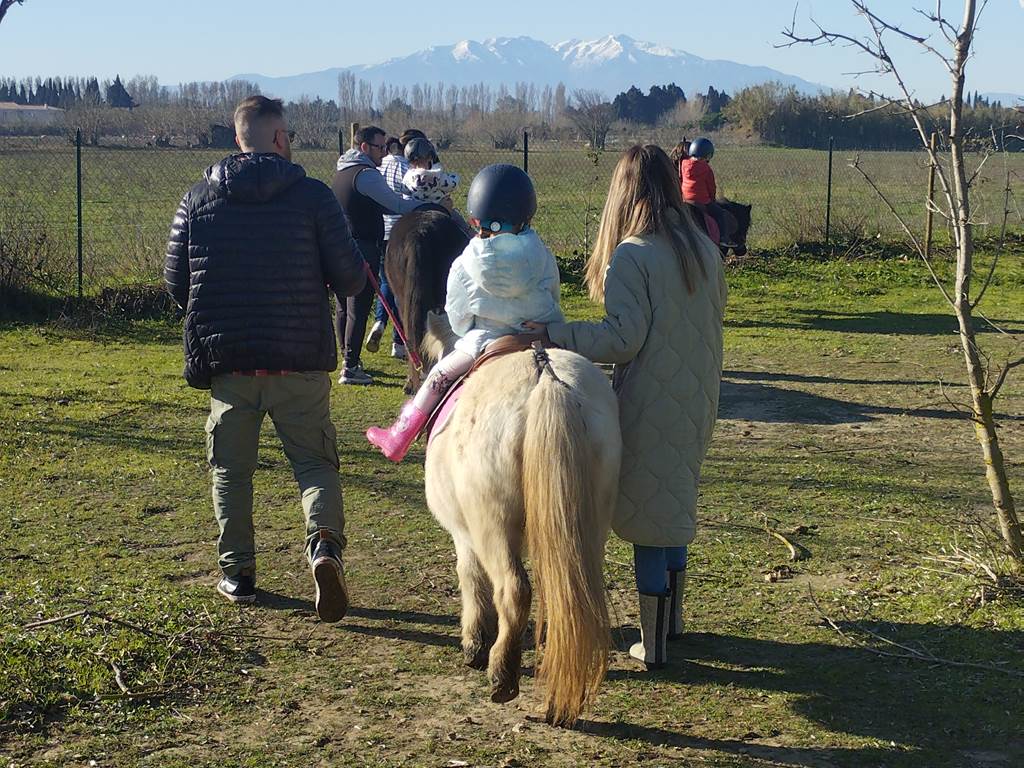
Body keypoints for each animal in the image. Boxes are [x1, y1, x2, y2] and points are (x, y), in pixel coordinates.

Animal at [421, 312, 621, 726]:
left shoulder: (464, 536)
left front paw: (474, 644)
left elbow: (470, 578)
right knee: (574, 601)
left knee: (513, 589)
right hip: (588, 529)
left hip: (493, 529)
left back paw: (502, 675)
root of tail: (545, 374)